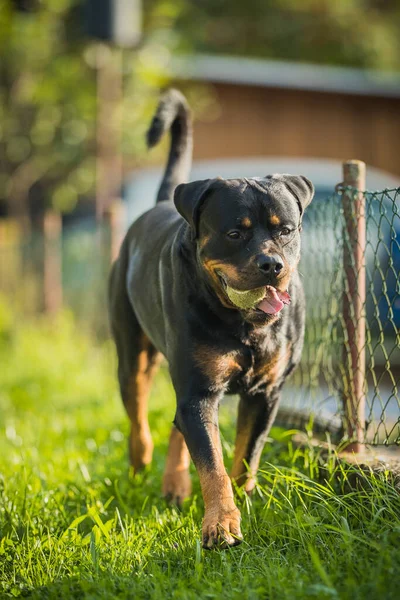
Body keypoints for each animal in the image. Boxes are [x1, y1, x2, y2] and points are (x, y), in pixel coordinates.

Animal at [108, 88, 312, 548]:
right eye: (234, 233)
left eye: (286, 230)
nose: (272, 264)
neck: (244, 323)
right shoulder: (199, 391)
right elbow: (212, 461)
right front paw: (221, 525)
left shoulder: (265, 394)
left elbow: (244, 458)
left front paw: (243, 505)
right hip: (134, 355)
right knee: (140, 416)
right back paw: (140, 464)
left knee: (175, 424)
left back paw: (175, 483)